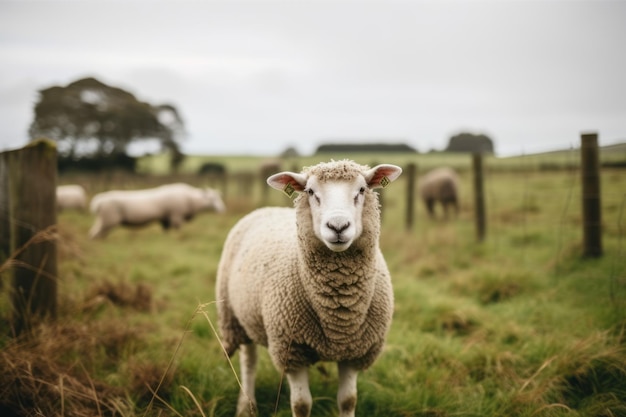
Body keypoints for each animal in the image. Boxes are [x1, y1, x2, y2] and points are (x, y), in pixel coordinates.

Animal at [87, 181, 224, 237]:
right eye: (212, 198)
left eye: (219, 197)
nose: (222, 209)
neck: (191, 199)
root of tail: (97, 202)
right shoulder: (176, 215)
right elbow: (178, 229)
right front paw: (179, 236)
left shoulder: (165, 218)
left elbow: (166, 230)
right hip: (108, 220)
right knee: (96, 234)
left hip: (103, 220)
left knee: (94, 232)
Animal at [214, 158, 400, 416]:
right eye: (311, 192)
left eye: (362, 190)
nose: (338, 226)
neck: (339, 315)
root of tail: (267, 208)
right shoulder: (291, 350)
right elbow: (301, 404)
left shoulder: (355, 351)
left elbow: (348, 400)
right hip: (237, 316)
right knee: (249, 362)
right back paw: (245, 406)